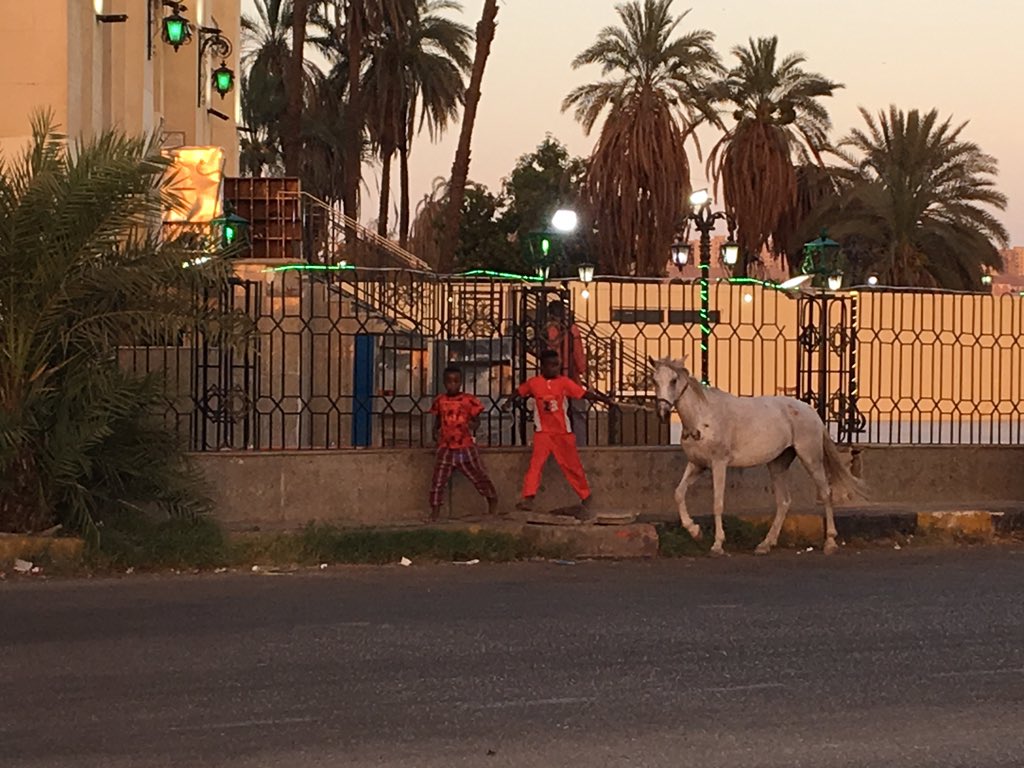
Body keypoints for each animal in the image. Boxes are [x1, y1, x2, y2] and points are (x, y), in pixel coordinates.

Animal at [647, 358, 864, 557]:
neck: (702, 419)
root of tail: (811, 411)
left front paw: (717, 545)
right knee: (784, 501)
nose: (662, 412)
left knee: (826, 493)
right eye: (654, 380)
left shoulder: (719, 463)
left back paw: (830, 542)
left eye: (674, 380)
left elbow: (717, 503)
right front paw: (695, 531)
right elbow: (678, 493)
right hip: (777, 464)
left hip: (810, 458)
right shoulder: (697, 464)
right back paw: (765, 544)